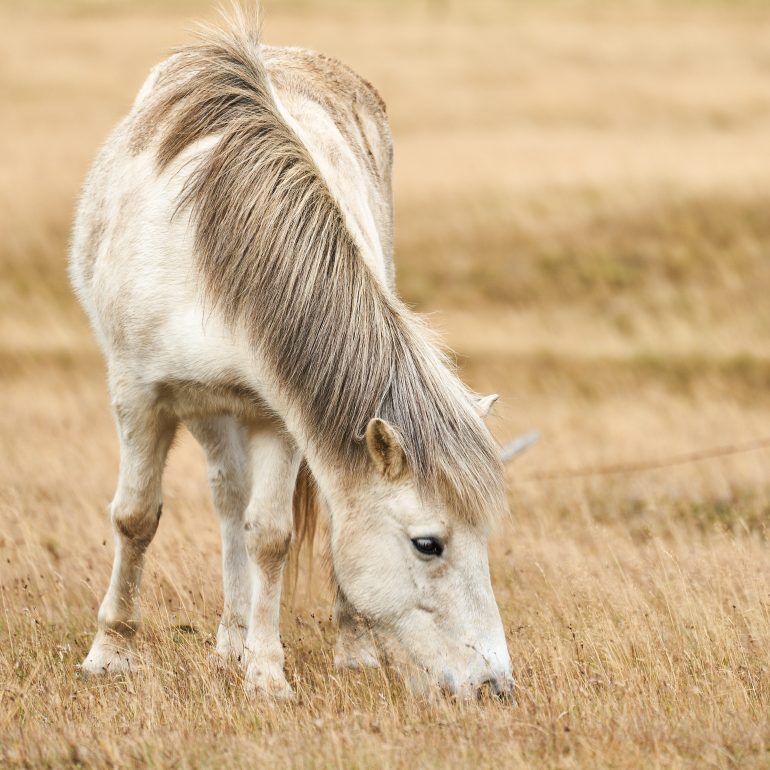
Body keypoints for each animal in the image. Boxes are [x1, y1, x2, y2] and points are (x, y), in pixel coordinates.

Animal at [69, 7, 515, 700]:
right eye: (427, 545)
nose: (494, 684)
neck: (213, 250)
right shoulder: (140, 397)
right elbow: (136, 517)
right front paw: (110, 653)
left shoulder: (274, 414)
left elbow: (271, 537)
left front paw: (266, 673)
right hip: (205, 410)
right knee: (226, 499)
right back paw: (226, 641)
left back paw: (344, 647)